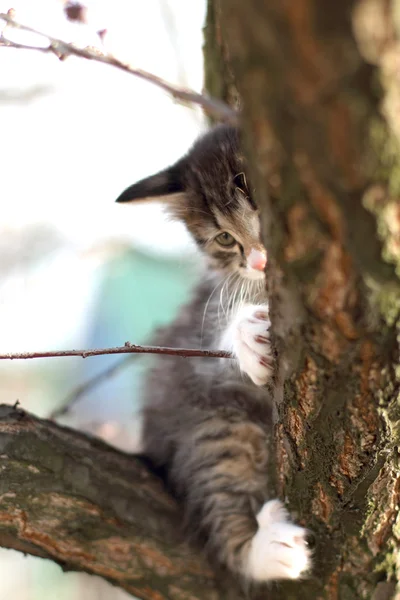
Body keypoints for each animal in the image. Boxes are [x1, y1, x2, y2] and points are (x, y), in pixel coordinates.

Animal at [115, 125, 310, 580]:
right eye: (225, 239)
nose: (258, 262)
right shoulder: (204, 331)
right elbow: (213, 344)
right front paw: (247, 336)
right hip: (210, 424)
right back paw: (267, 549)